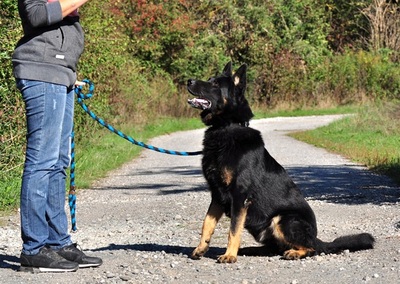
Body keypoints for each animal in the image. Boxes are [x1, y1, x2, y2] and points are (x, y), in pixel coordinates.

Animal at [188, 62, 376, 264]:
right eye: (209, 79)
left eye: (215, 84)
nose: (188, 81)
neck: (226, 127)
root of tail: (316, 238)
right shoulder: (217, 195)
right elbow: (207, 224)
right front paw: (201, 248)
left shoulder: (240, 197)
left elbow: (233, 230)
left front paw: (229, 255)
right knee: (276, 247)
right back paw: (251, 250)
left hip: (283, 220)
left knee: (310, 249)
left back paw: (294, 252)